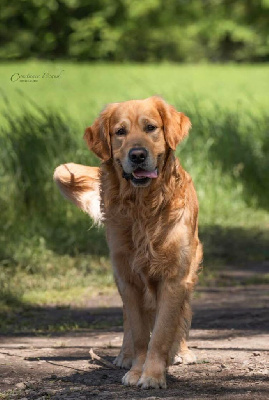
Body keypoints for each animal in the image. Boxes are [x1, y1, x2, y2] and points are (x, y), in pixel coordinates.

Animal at [53, 96, 202, 388]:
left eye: (151, 127)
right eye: (120, 132)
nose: (138, 155)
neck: (142, 209)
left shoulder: (175, 277)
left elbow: (163, 331)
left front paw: (153, 374)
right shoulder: (128, 278)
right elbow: (140, 332)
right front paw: (136, 370)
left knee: (183, 315)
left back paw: (181, 352)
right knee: (128, 324)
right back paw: (125, 355)